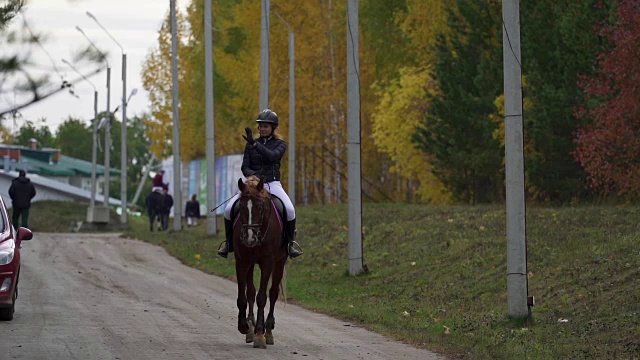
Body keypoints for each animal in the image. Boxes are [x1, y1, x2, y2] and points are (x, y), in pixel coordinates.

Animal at [232, 176, 288, 348]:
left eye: (260, 207)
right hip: (251, 263)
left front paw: (259, 334)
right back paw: (250, 326)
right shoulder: (242, 261)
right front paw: (244, 326)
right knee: (250, 291)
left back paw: (267, 331)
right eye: (241, 206)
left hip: (280, 262)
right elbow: (243, 296)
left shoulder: (267, 262)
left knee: (273, 293)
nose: (250, 238)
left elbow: (262, 297)